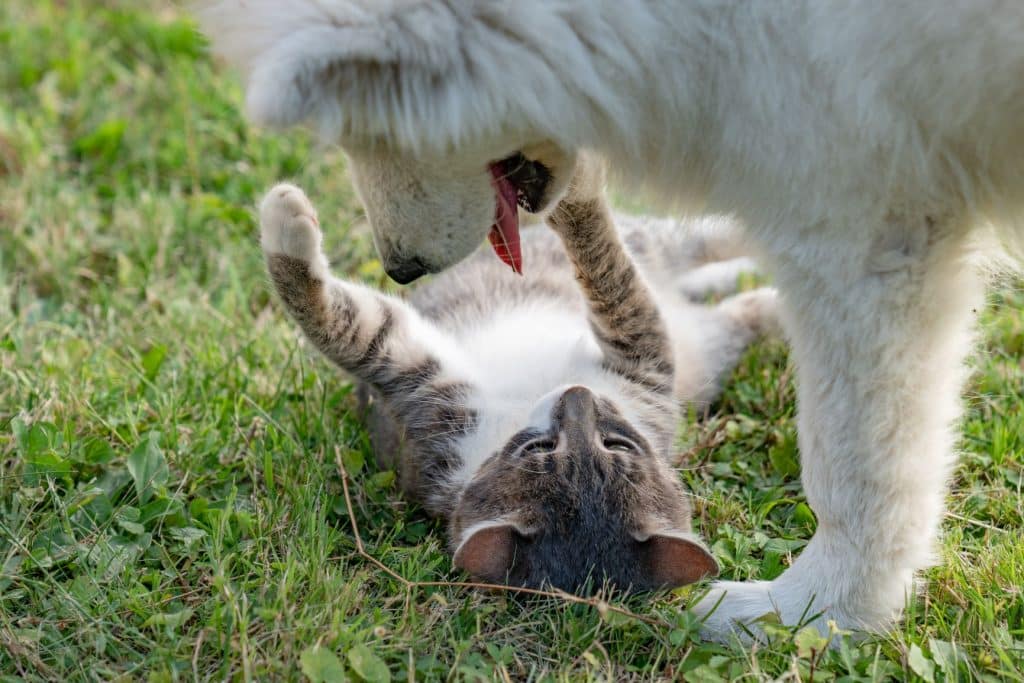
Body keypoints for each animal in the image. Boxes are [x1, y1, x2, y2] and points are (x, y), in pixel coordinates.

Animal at [258, 158, 774, 593]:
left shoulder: (643, 365)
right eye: (540, 449)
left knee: (695, 243)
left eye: (617, 445)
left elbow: (610, 275)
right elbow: (359, 326)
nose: (578, 395)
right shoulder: (436, 412)